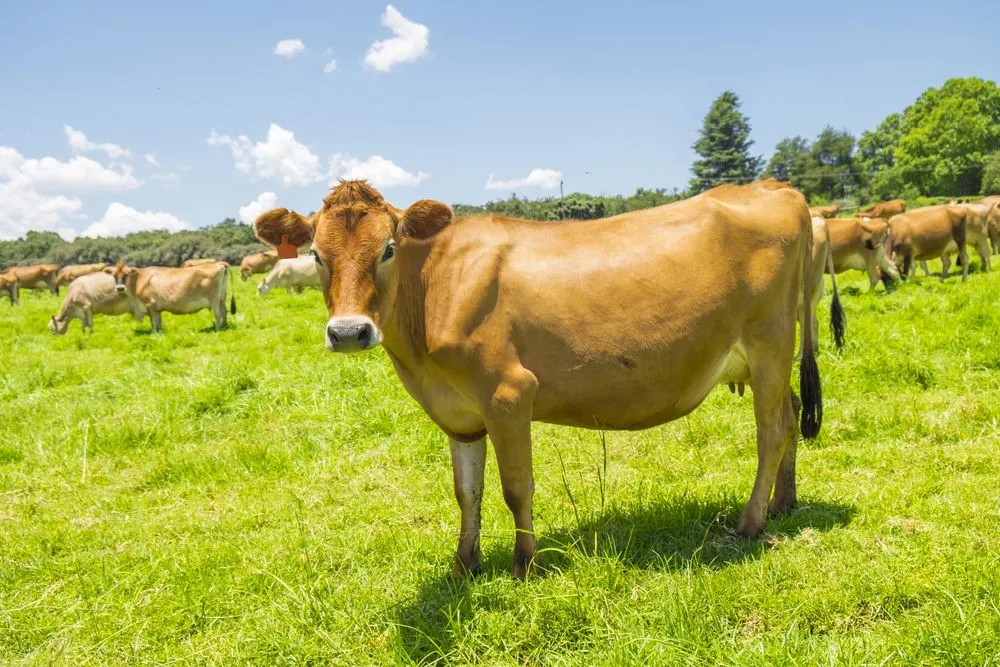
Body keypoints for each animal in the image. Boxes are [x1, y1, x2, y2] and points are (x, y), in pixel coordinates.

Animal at [106, 261, 236, 333]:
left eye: (127, 274)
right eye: (114, 275)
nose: (120, 288)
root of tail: (219, 263)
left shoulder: (150, 305)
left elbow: (154, 322)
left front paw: (155, 334)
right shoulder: (156, 308)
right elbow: (158, 322)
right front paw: (160, 332)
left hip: (214, 299)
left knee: (218, 314)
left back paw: (217, 330)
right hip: (222, 298)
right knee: (224, 312)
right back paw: (224, 327)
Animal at [253, 179, 825, 580]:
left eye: (387, 249)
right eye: (317, 255)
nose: (349, 332)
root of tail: (775, 188)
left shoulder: (508, 394)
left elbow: (515, 487)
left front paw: (525, 563)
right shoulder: (459, 414)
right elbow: (467, 491)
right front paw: (464, 564)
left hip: (771, 343)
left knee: (771, 431)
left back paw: (750, 522)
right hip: (769, 358)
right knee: (793, 415)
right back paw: (783, 504)